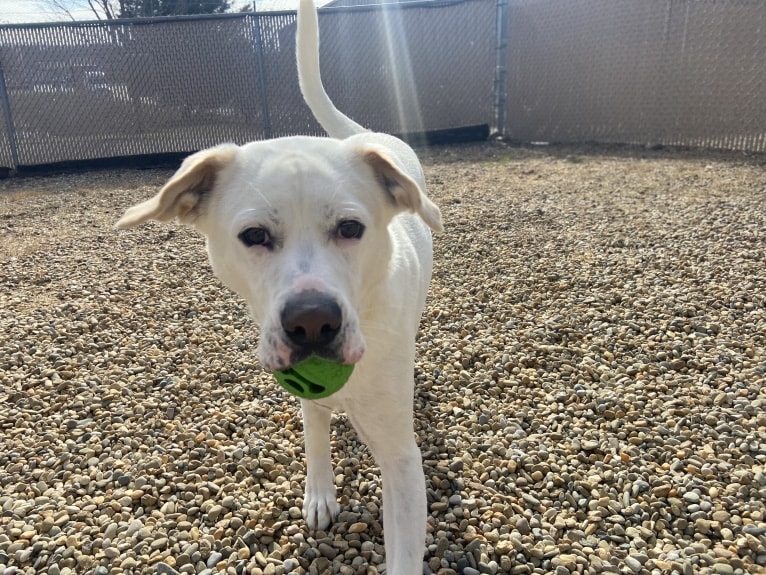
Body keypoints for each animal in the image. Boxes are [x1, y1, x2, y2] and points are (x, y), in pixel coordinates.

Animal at [119, 2, 444, 572]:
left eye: (351, 228)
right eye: (254, 236)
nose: (312, 321)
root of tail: (367, 133)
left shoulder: (403, 460)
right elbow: (314, 427)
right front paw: (319, 492)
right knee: (315, 420)